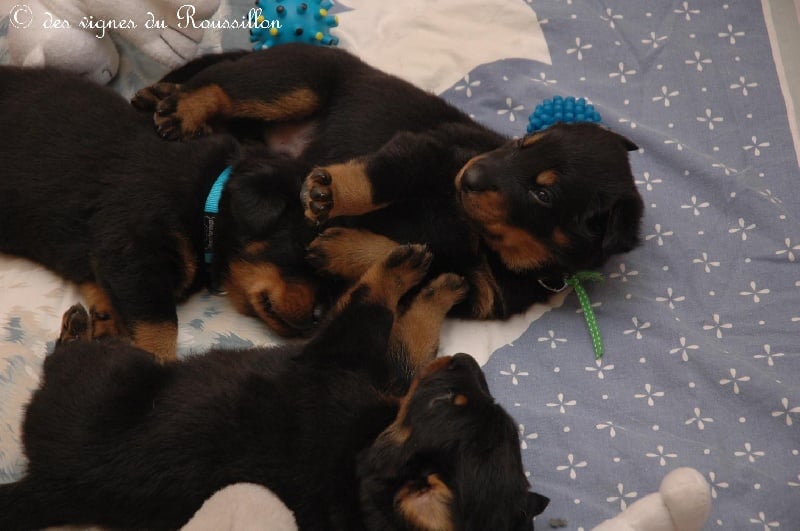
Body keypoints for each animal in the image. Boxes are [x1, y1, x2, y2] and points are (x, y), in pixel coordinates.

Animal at [0, 64, 330, 360]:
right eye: (301, 248)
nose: (318, 318)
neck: (208, 196)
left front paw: (103, 324)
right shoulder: (133, 248)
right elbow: (159, 329)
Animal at [0, 246, 552, 531]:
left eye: (443, 403)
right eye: (503, 419)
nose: (465, 360)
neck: (363, 448)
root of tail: (50, 484)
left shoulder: (337, 350)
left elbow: (373, 302)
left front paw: (403, 265)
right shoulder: (384, 373)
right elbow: (410, 335)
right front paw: (442, 285)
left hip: (113, 372)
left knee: (65, 358)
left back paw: (77, 329)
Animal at [131, 42, 644, 320]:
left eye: (542, 192)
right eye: (524, 142)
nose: (473, 174)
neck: (479, 234)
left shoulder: (477, 291)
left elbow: (421, 258)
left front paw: (340, 248)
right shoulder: (431, 150)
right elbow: (381, 179)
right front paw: (329, 194)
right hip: (293, 82)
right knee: (220, 82)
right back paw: (178, 105)